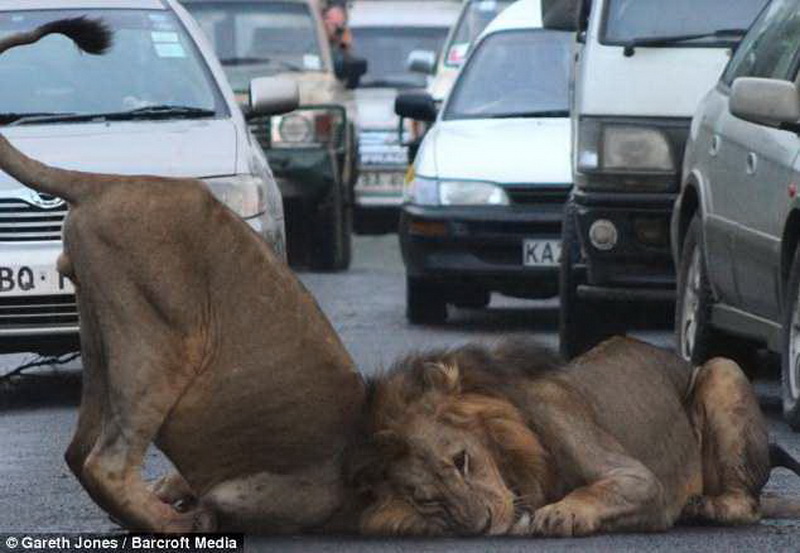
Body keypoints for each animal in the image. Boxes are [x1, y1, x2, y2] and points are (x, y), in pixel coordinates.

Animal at [0, 20, 366, 532]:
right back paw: (176, 524)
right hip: (159, 341)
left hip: (99, 333)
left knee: (78, 451)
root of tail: (106, 182)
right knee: (106, 462)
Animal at [354, 336, 800, 536]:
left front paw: (561, 513)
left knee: (746, 505)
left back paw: (702, 507)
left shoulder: (641, 481)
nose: (482, 526)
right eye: (427, 499)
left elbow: (605, 488)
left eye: (461, 460)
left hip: (722, 369)